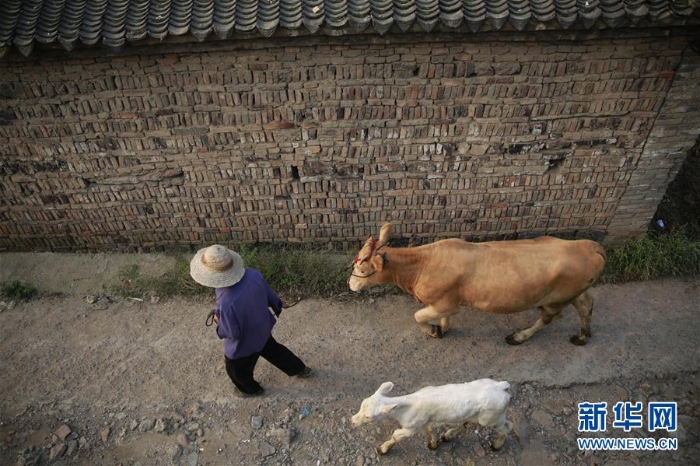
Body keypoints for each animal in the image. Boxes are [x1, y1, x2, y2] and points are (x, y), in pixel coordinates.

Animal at [348, 222, 608, 346]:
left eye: (361, 269)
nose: (351, 284)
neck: (422, 264)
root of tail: (589, 245)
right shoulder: (446, 303)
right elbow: (443, 319)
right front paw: (442, 329)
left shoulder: (445, 302)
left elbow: (418, 316)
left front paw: (432, 331)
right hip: (576, 292)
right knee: (586, 305)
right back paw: (583, 336)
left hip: (558, 299)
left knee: (547, 318)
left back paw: (518, 337)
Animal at [352, 380, 512, 454]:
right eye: (361, 404)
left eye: (369, 417)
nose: (352, 421)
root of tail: (501, 386)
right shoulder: (423, 422)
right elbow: (430, 430)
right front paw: (434, 444)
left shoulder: (411, 428)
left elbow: (396, 435)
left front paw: (382, 450)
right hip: (478, 415)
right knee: (469, 424)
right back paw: (448, 435)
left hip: (492, 418)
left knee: (507, 427)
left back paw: (497, 446)